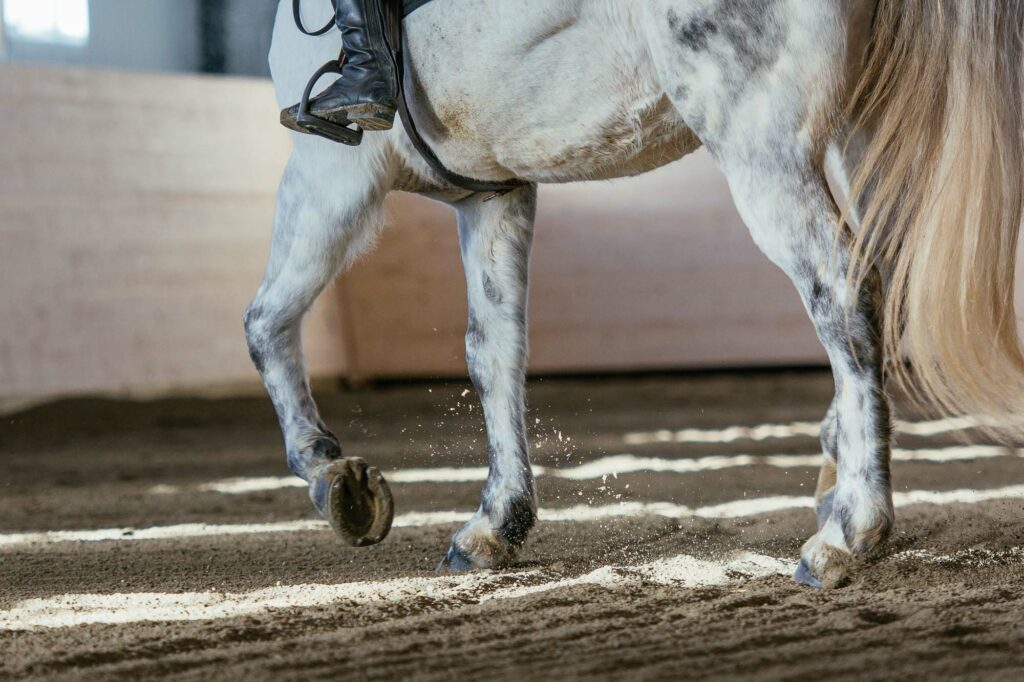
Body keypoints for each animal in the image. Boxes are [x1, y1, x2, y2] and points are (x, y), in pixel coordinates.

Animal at [245, 0, 1024, 585]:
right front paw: (498, 523)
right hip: (861, 131)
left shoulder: (331, 171)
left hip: (762, 145)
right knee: (877, 285)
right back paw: (835, 485)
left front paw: (334, 479)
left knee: (840, 294)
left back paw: (849, 532)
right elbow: (494, 353)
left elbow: (264, 324)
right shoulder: (492, 195)